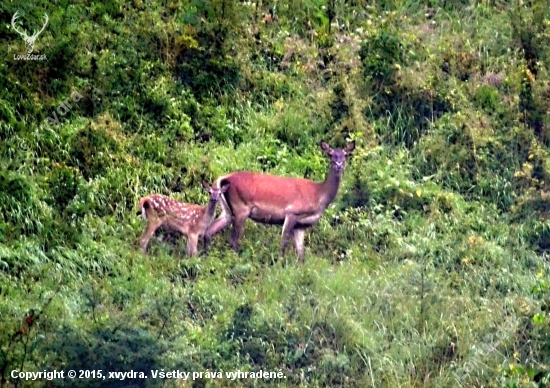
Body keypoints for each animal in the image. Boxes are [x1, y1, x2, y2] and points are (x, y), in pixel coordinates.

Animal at [206, 141, 358, 262]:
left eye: (345, 155)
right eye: (331, 155)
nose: (339, 164)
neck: (319, 195)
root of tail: (224, 178)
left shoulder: (301, 225)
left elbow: (301, 252)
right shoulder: (292, 212)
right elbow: (283, 242)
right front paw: (279, 264)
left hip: (227, 210)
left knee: (209, 231)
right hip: (241, 208)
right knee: (233, 239)